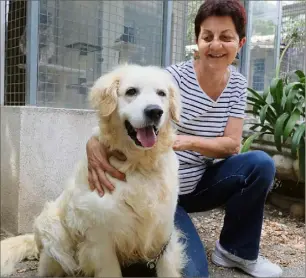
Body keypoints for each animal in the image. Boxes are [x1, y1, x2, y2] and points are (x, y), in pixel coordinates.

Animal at [0, 64, 186, 276]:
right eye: (131, 91)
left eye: (161, 93)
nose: (155, 111)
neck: (139, 164)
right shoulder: (100, 237)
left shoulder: (163, 230)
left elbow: (168, 267)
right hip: (52, 227)